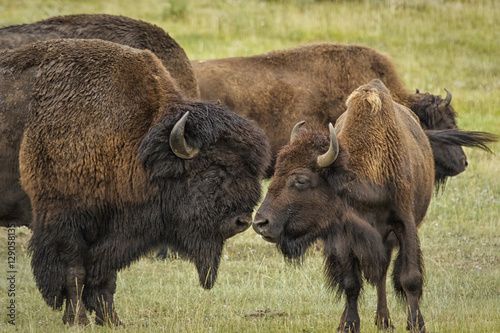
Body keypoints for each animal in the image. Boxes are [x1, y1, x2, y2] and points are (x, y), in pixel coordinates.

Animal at [7, 39, 272, 324]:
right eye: (214, 172)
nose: (242, 221)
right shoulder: (64, 220)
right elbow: (74, 272)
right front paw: (78, 320)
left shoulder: (112, 234)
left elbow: (104, 276)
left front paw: (111, 320)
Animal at [254, 79, 434, 330]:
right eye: (277, 172)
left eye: (301, 180)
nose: (260, 223)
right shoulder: (342, 235)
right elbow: (350, 283)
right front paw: (348, 324)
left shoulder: (404, 225)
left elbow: (410, 278)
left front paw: (417, 324)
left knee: (383, 272)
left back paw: (384, 321)